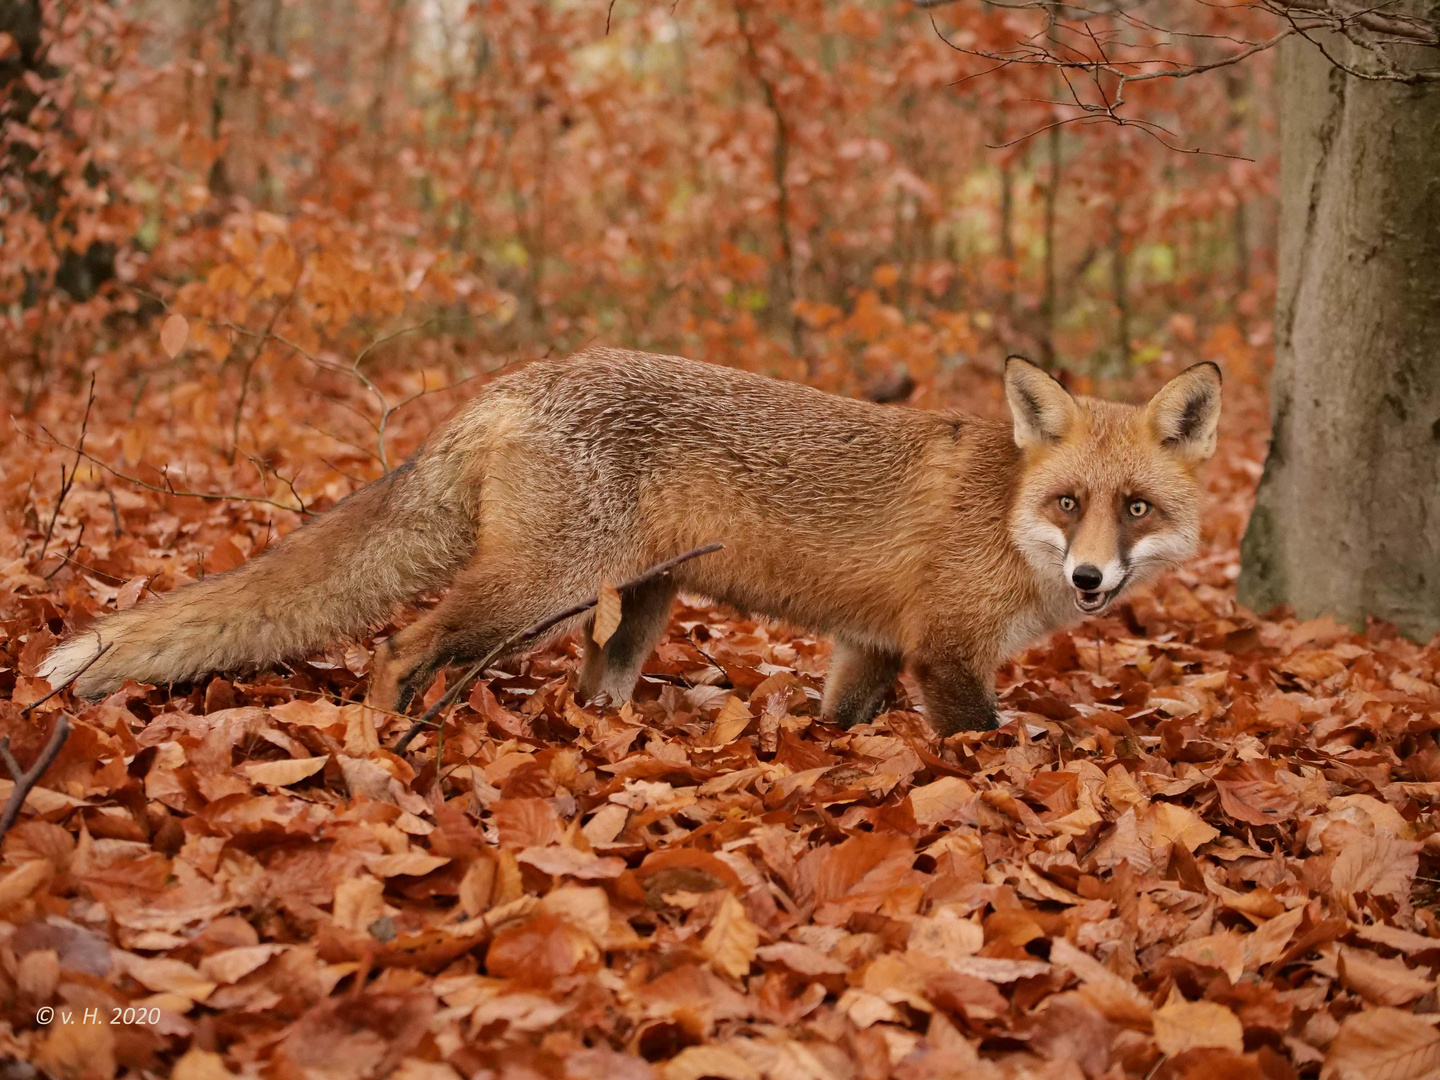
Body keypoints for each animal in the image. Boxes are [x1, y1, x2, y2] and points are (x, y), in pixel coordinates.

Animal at [39, 351, 1221, 743]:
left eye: (1135, 510)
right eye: (1069, 502)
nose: (1090, 577)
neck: (1004, 516)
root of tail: (519, 378)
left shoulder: (871, 647)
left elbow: (838, 726)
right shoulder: (944, 653)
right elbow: (986, 747)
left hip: (631, 610)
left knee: (587, 691)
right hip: (531, 593)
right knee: (399, 646)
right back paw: (384, 746)